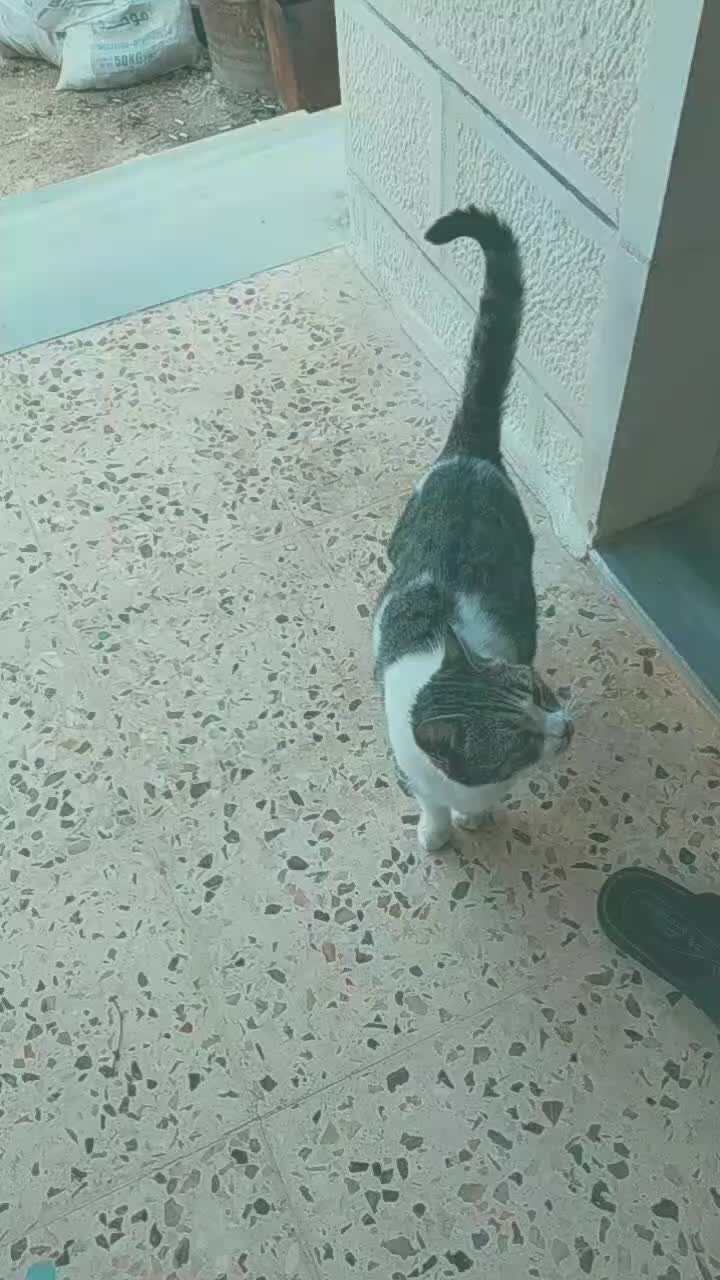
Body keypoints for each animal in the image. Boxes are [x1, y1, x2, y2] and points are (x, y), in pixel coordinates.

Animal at [373, 204, 573, 851]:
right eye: (519, 740)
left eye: (539, 692)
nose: (565, 726)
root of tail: (467, 453)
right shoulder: (410, 768)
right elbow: (429, 801)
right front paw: (436, 831)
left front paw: (473, 820)